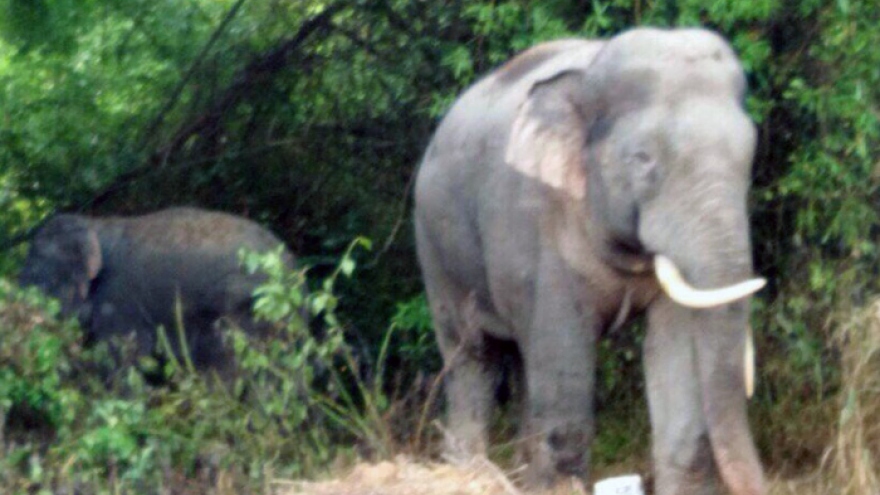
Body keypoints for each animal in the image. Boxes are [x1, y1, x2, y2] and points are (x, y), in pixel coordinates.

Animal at [414, 28, 767, 495]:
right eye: (643, 159)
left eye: (749, 156)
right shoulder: (538, 231)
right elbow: (563, 367)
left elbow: (673, 348)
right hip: (436, 250)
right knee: (471, 357)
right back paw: (466, 470)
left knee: (522, 364)